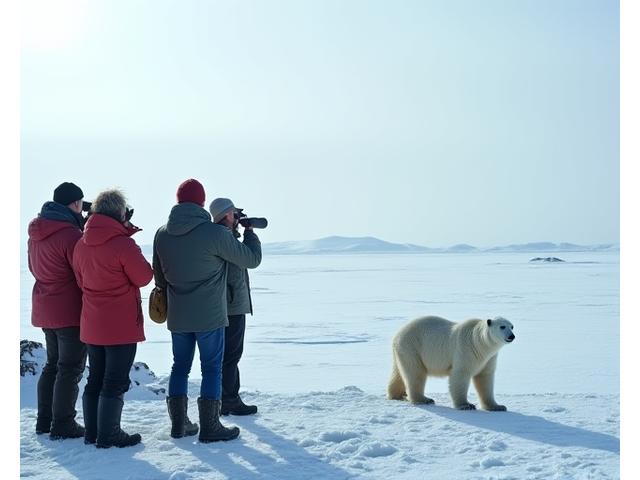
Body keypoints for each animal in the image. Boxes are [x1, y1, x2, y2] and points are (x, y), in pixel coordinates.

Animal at [387, 315, 515, 411]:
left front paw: (498, 406)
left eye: (512, 326)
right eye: (502, 326)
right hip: (412, 347)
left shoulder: (489, 358)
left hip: (402, 351)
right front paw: (466, 405)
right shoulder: (466, 349)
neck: (479, 343)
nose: (511, 336)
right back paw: (424, 399)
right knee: (416, 373)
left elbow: (485, 378)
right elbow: (461, 374)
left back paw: (397, 395)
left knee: (398, 373)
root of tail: (396, 335)